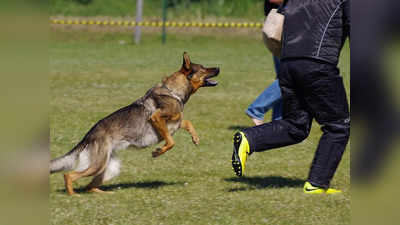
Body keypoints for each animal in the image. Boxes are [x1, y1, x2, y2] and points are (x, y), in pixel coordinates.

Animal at [50, 51, 220, 194]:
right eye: (203, 68)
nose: (218, 67)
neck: (173, 92)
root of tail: (88, 135)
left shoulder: (176, 122)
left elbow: (187, 123)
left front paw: (195, 138)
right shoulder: (157, 118)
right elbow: (171, 142)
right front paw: (158, 152)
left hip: (109, 168)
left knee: (89, 187)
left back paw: (107, 194)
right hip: (97, 165)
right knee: (69, 176)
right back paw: (73, 196)